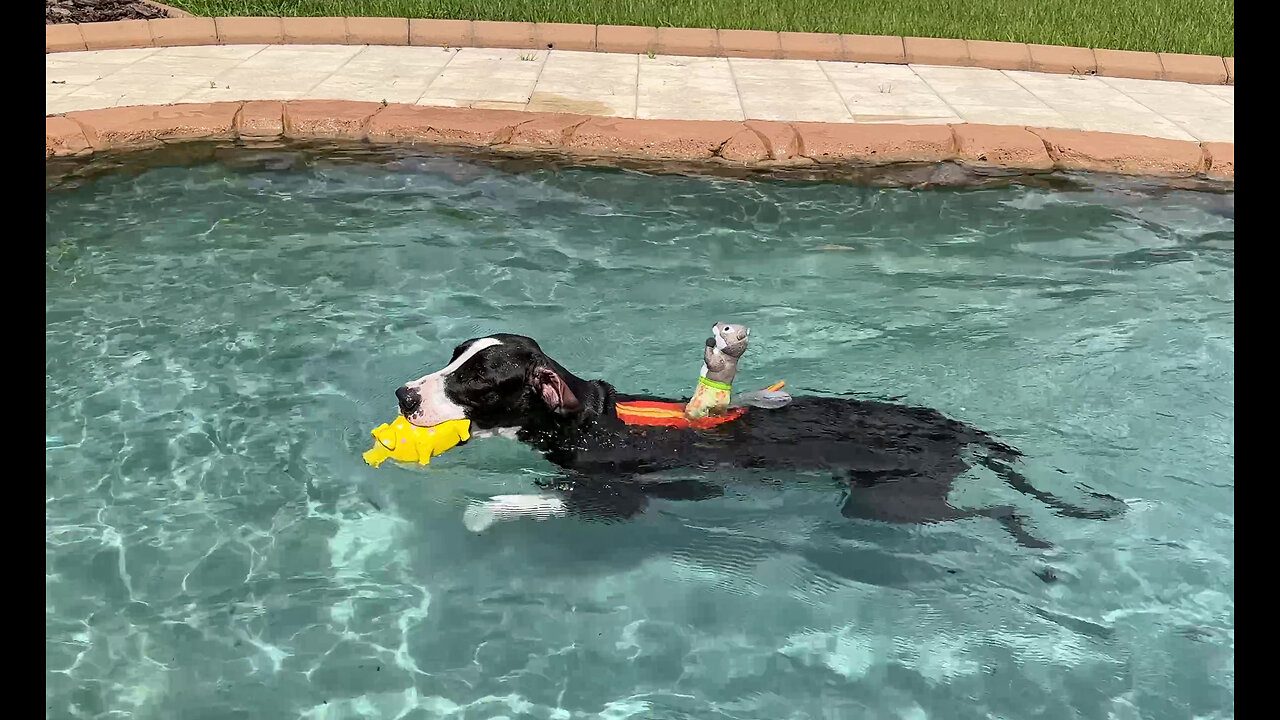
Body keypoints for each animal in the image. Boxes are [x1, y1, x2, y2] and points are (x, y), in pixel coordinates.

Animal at [391, 333, 1121, 543]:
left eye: (478, 378)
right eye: (453, 356)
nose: (402, 395)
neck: (584, 417)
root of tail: (950, 423)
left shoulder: (615, 501)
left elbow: (541, 499)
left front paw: (481, 513)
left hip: (891, 502)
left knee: (995, 509)